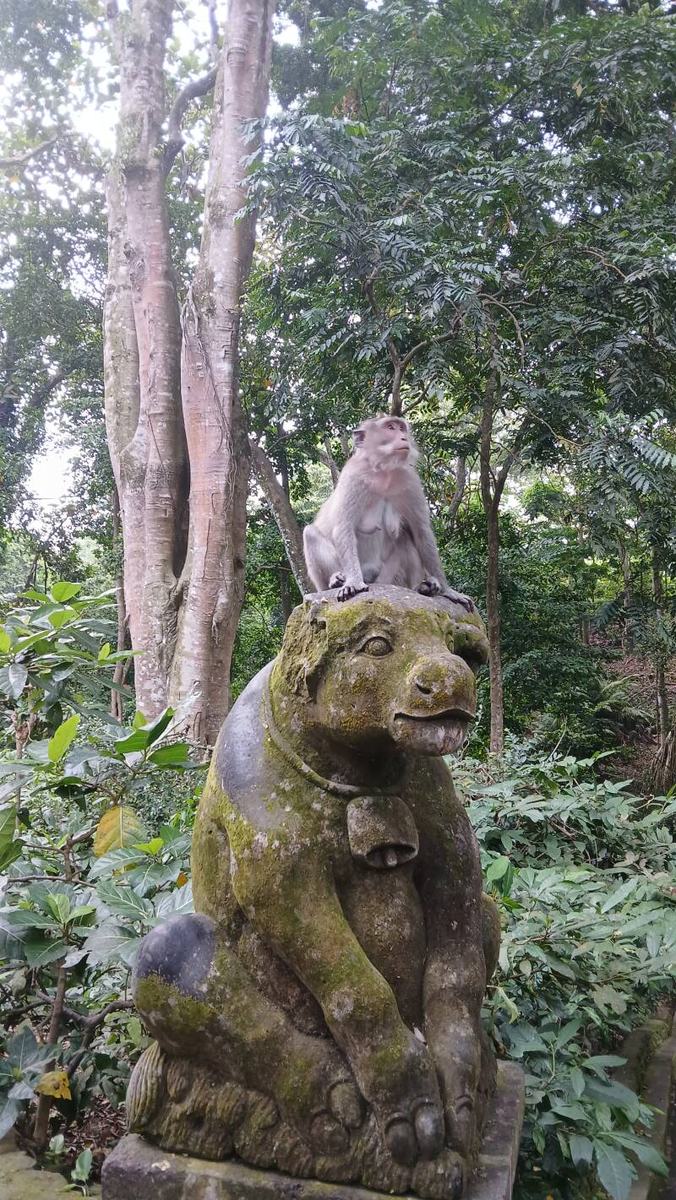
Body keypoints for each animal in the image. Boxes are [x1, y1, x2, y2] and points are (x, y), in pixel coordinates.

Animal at [303, 414, 474, 611]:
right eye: (390, 427)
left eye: (401, 428)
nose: (404, 438)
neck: (383, 472)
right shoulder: (353, 476)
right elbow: (343, 528)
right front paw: (353, 582)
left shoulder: (410, 480)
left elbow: (421, 531)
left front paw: (448, 590)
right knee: (309, 533)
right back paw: (336, 580)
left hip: (388, 579)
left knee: (406, 537)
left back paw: (422, 588)